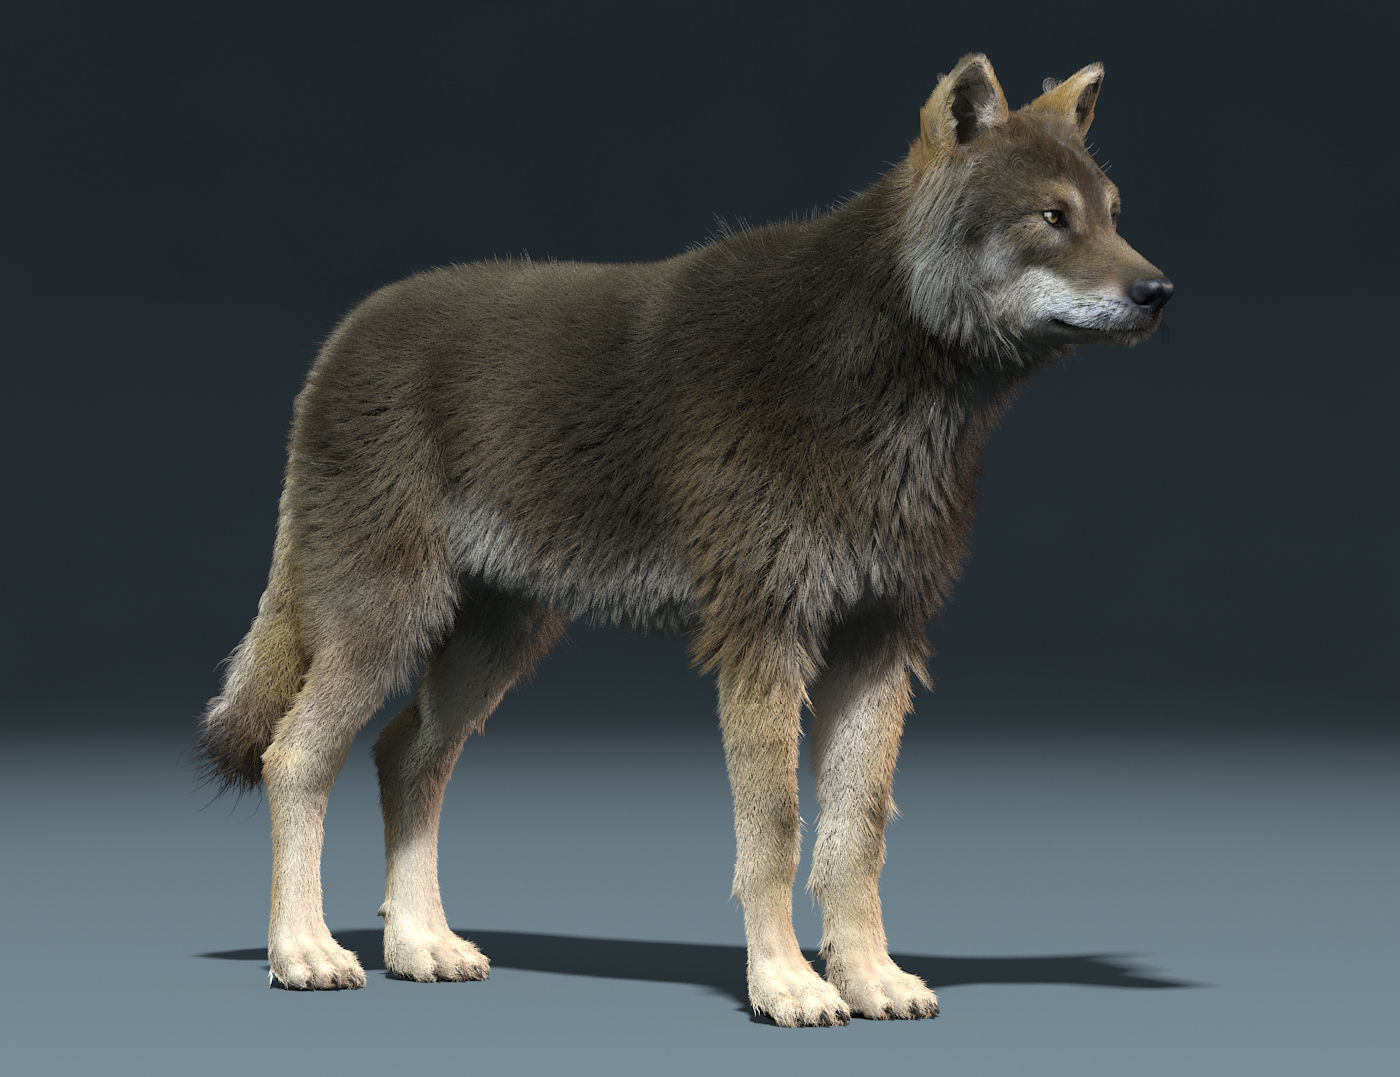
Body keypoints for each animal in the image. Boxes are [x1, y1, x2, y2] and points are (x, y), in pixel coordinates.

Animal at [195, 54, 1171, 1026]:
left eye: (1113, 213)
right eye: (1052, 217)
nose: (1160, 292)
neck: (880, 374)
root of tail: (341, 340)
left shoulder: (878, 643)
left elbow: (855, 833)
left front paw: (869, 977)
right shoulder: (765, 638)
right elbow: (776, 830)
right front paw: (786, 983)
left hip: (494, 641)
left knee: (405, 758)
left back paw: (420, 944)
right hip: (387, 625)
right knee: (294, 756)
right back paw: (305, 950)